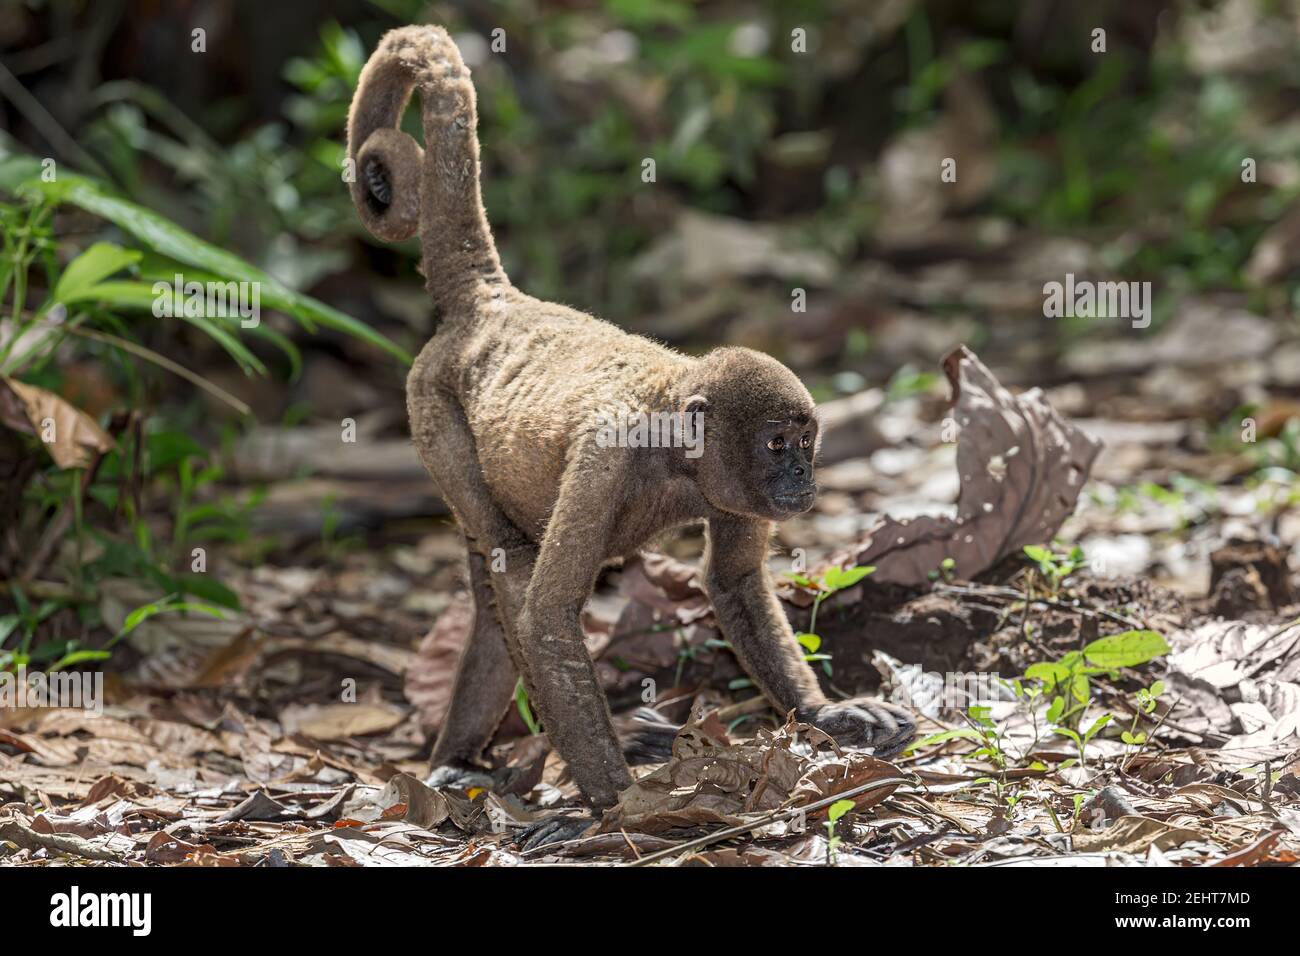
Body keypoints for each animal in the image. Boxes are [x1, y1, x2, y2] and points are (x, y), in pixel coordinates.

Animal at [346, 25, 916, 831]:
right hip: (430, 408)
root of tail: (492, 305)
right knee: (510, 566)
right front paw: (618, 802)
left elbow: (732, 581)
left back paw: (461, 756)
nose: (802, 479)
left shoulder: (726, 490)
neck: (673, 441)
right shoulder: (606, 461)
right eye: (778, 445)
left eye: (807, 445)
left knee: (492, 595)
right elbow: (549, 616)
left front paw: (823, 714)